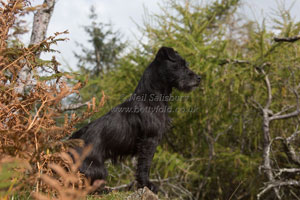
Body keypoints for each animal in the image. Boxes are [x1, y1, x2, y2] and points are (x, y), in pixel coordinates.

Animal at [70, 46, 200, 193]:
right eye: (180, 65)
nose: (199, 78)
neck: (151, 96)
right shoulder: (149, 140)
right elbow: (145, 165)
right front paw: (146, 184)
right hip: (98, 169)